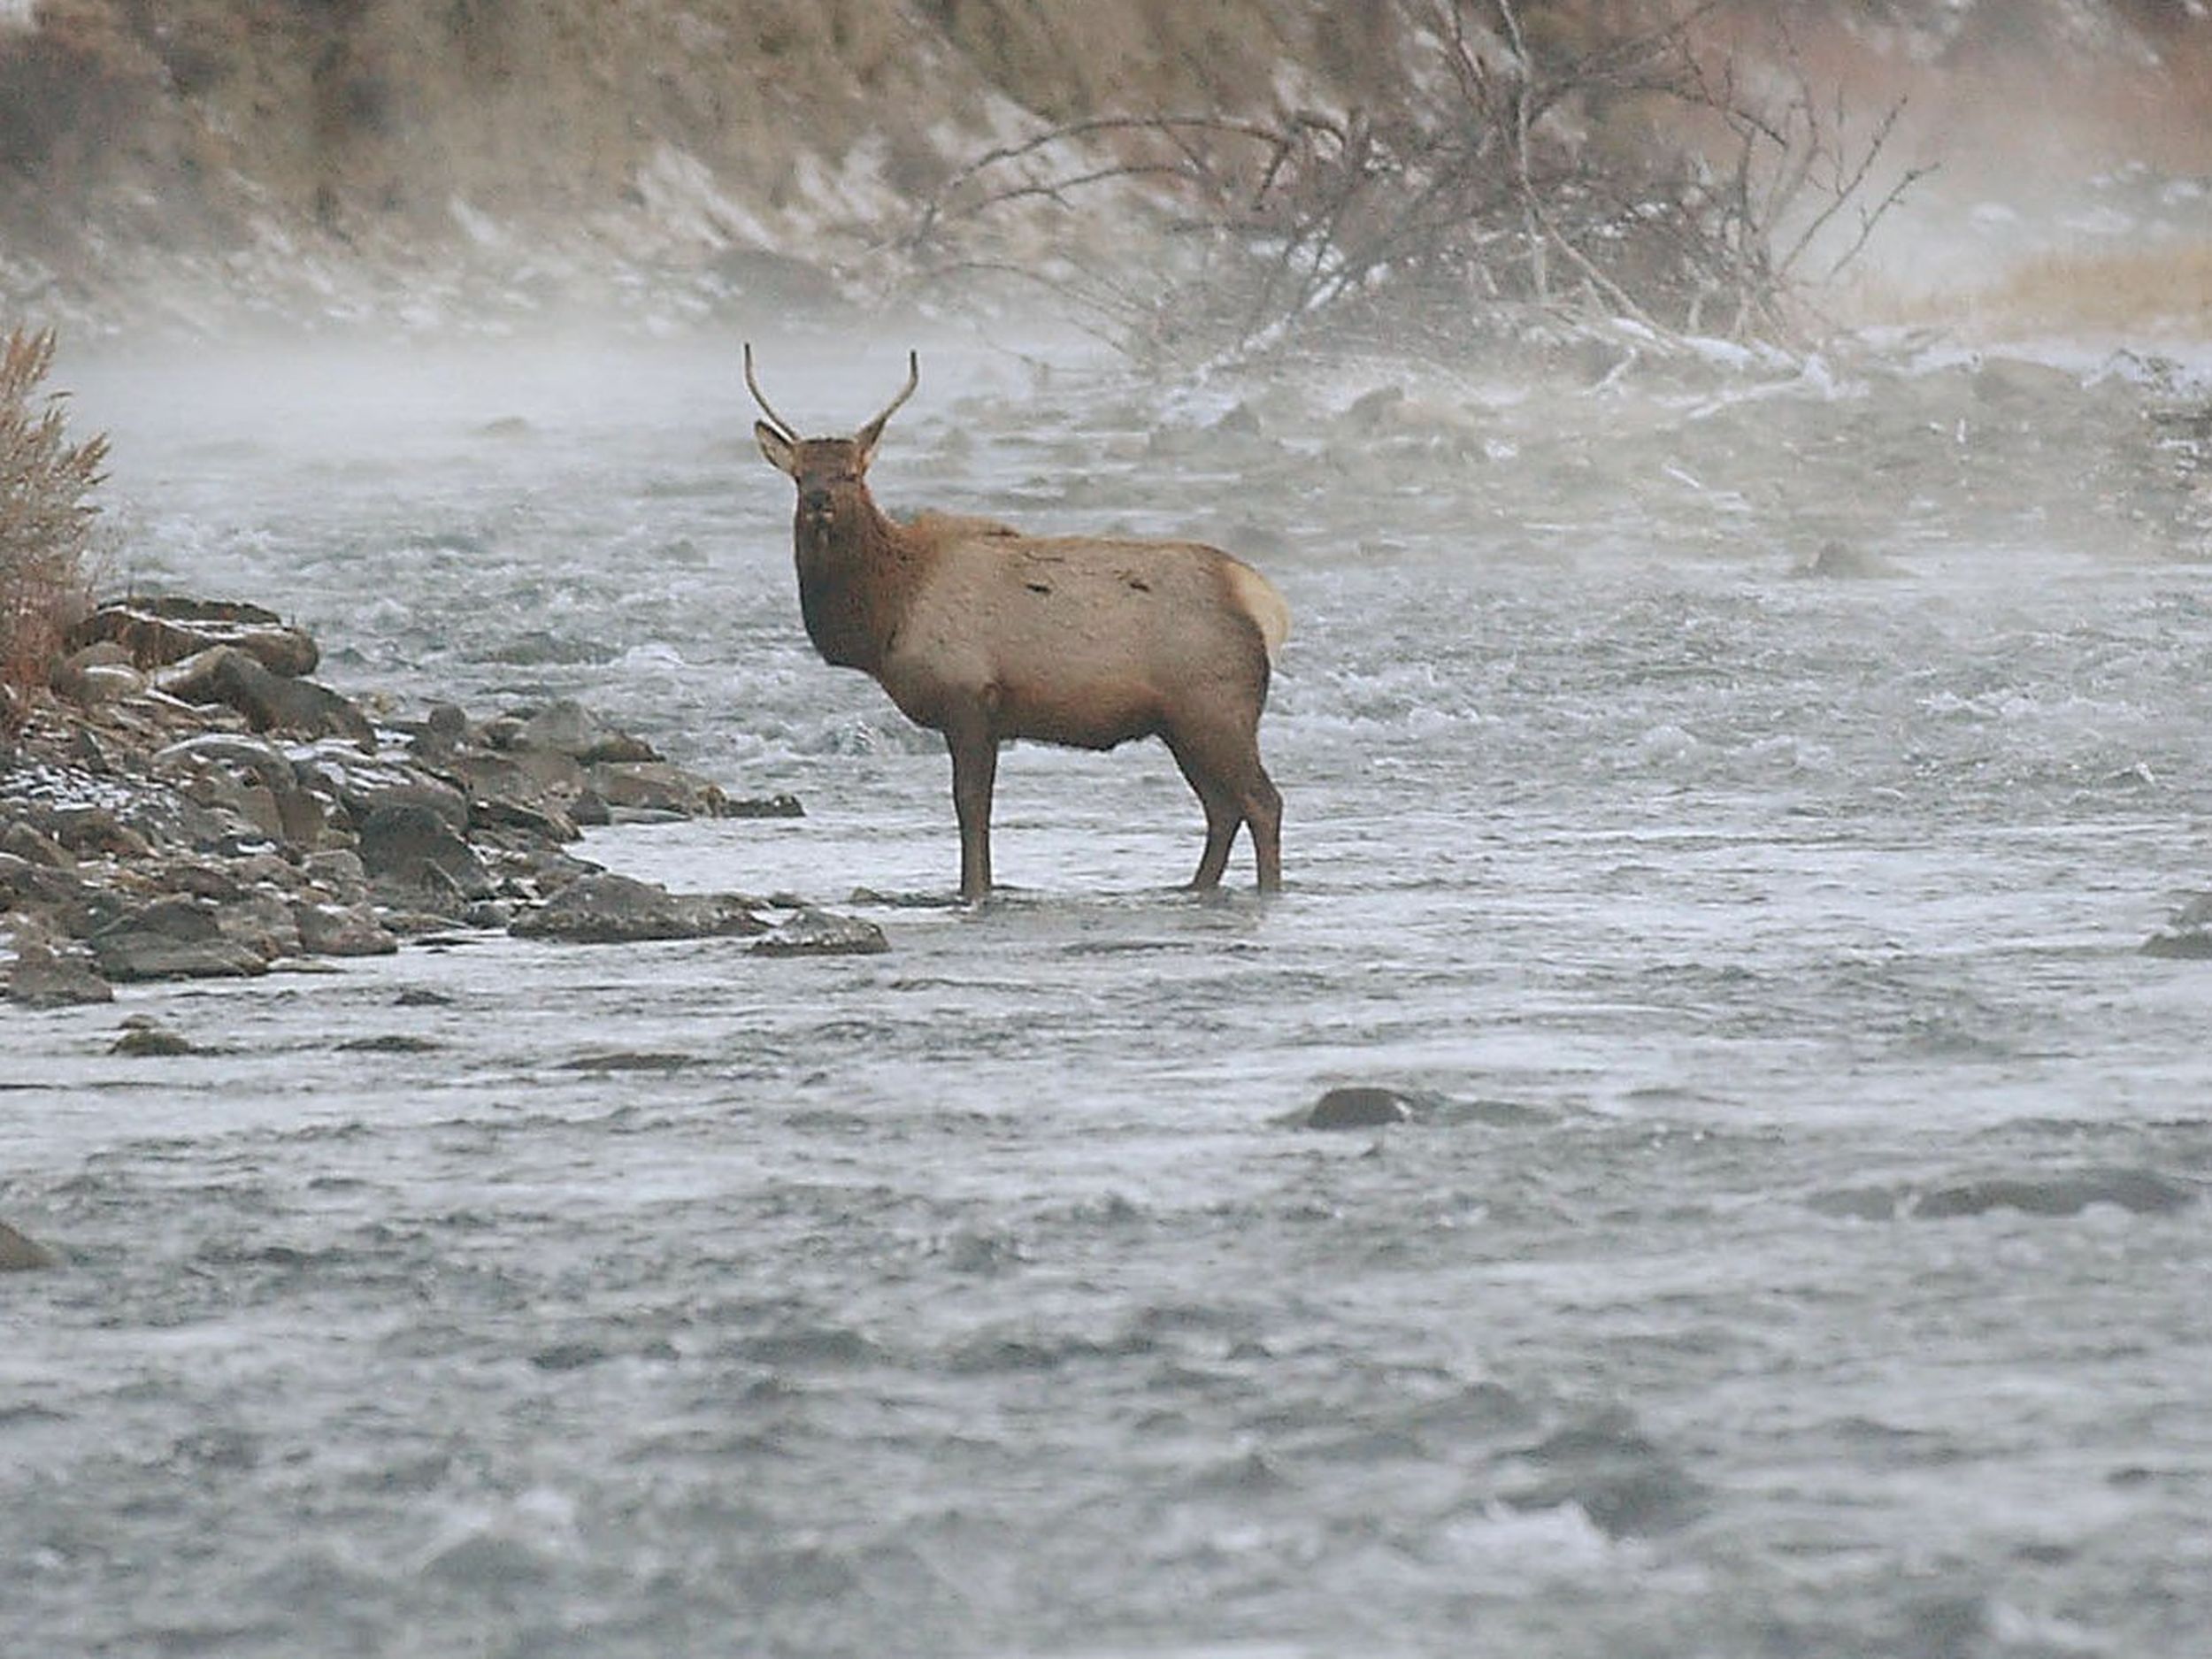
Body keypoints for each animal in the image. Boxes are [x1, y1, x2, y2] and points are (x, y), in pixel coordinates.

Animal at [752, 342, 1292, 902]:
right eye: (800, 475)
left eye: (851, 474)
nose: (819, 501)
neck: (889, 614)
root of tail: (1264, 603)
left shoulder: (969, 696)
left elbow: (971, 804)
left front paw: (973, 890)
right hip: (1179, 723)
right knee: (1222, 808)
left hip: (1216, 708)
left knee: (1262, 802)